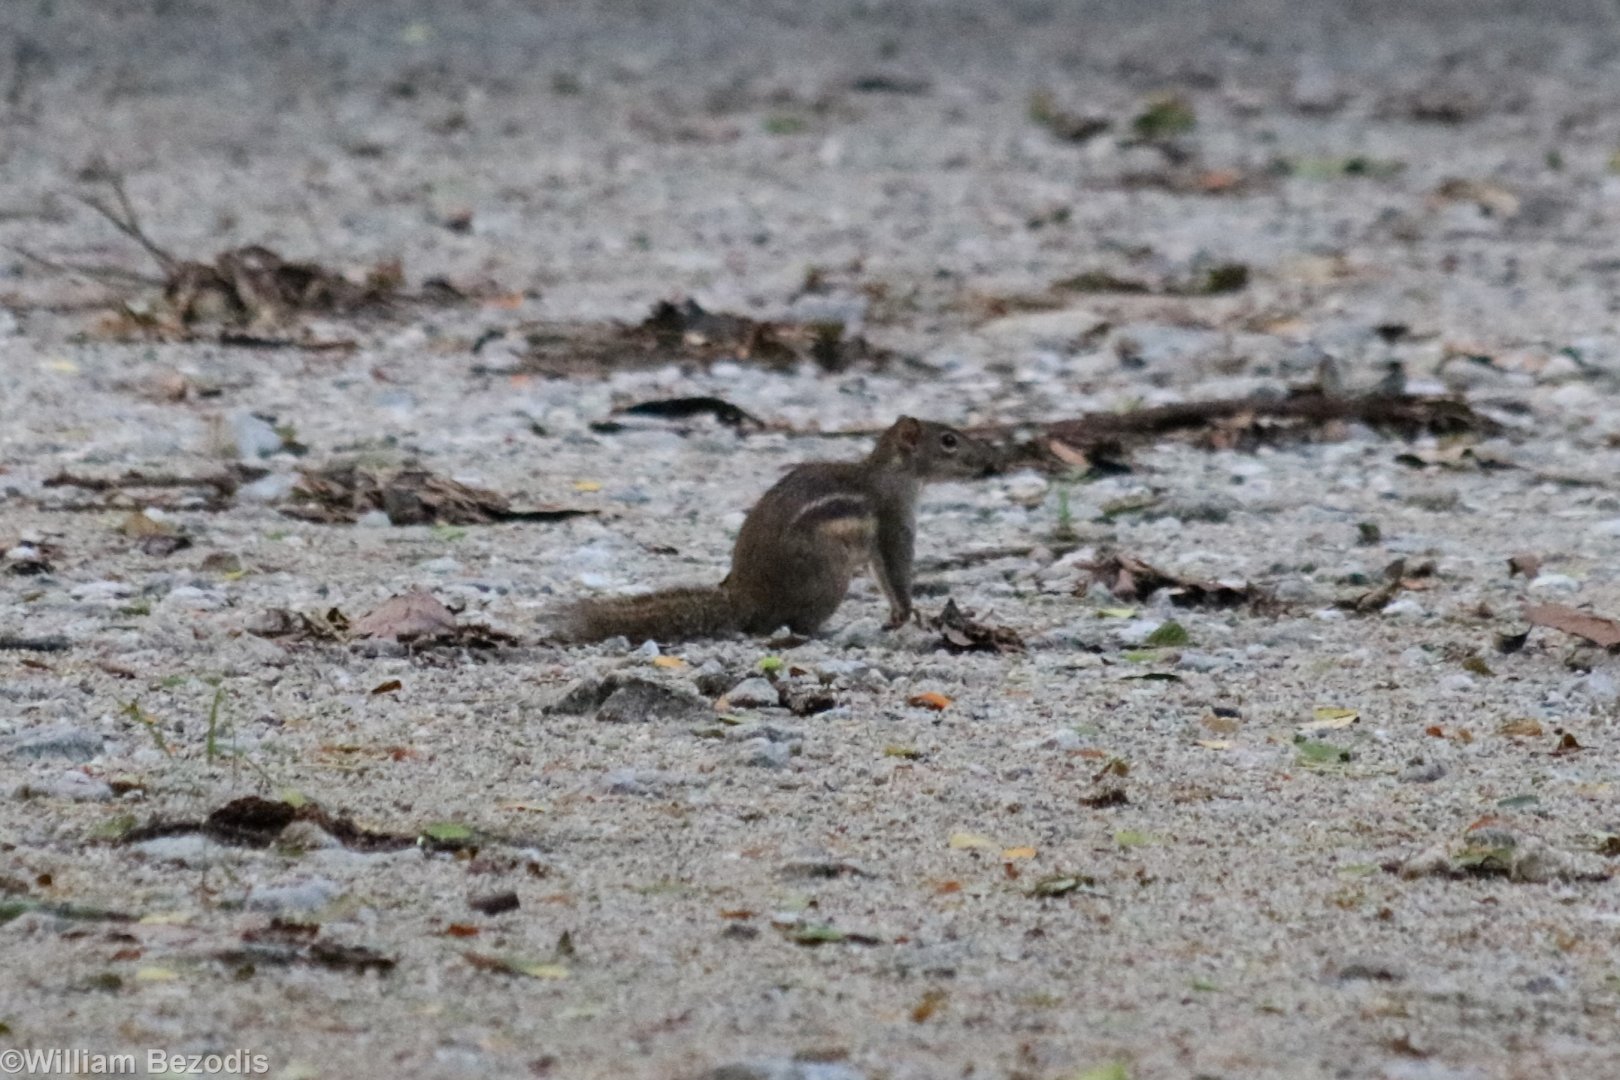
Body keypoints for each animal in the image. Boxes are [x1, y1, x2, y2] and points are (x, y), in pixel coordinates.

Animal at [556, 416, 994, 643]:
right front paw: (904, 616)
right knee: (794, 624)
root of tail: (746, 597)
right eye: (949, 440)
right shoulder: (893, 523)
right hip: (828, 577)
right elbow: (896, 573)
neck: (892, 474)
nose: (988, 460)